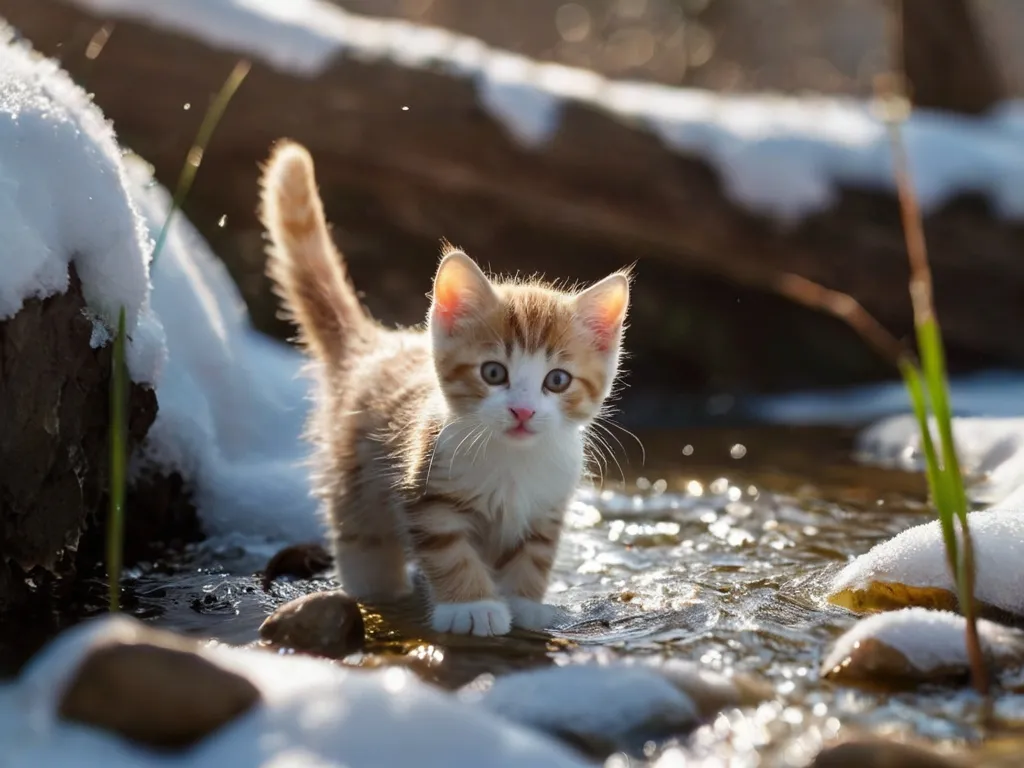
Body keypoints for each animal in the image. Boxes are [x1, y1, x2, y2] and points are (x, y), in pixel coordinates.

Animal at [260, 141, 626, 638]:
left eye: (557, 380)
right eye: (493, 373)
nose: (523, 412)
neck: (512, 462)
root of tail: (376, 343)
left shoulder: (546, 507)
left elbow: (534, 555)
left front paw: (523, 604)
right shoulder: (427, 491)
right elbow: (450, 552)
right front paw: (472, 607)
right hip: (354, 484)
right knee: (362, 541)